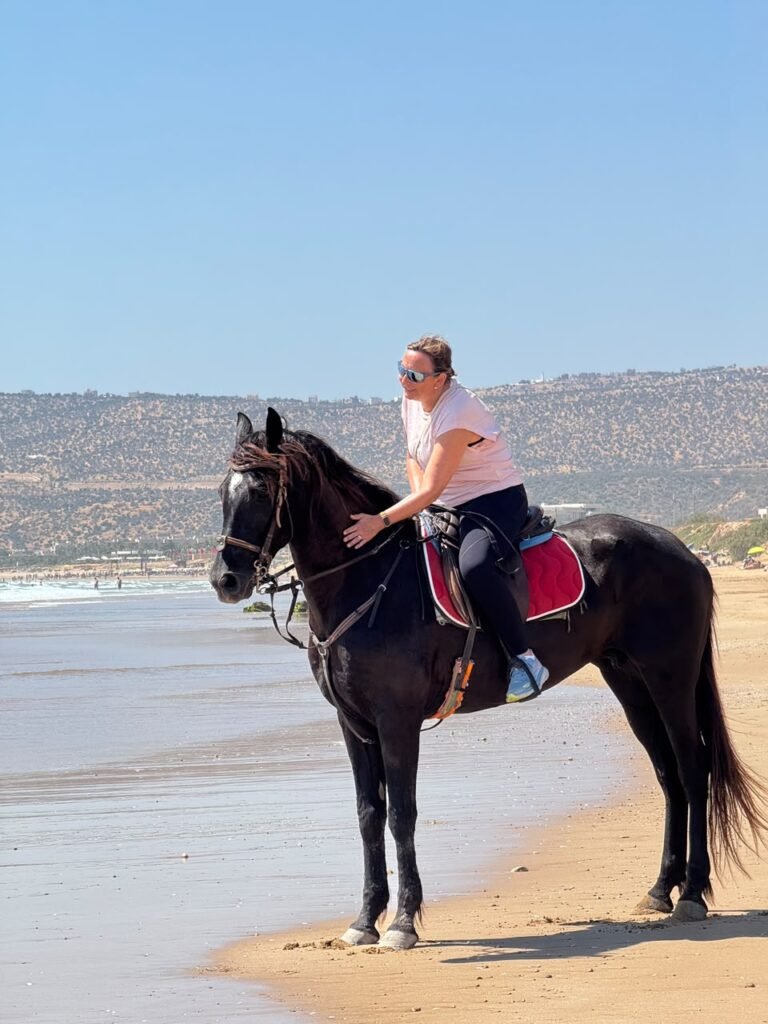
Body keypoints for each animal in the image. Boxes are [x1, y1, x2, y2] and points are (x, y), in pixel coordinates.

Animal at [210, 409, 767, 949]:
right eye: (221, 492)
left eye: (261, 492)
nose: (225, 580)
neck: (368, 580)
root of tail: (684, 551)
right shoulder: (354, 724)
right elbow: (369, 814)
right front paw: (365, 920)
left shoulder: (397, 721)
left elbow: (402, 813)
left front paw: (403, 923)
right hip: (629, 683)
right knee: (668, 775)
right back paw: (660, 890)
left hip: (669, 678)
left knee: (693, 770)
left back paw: (692, 894)